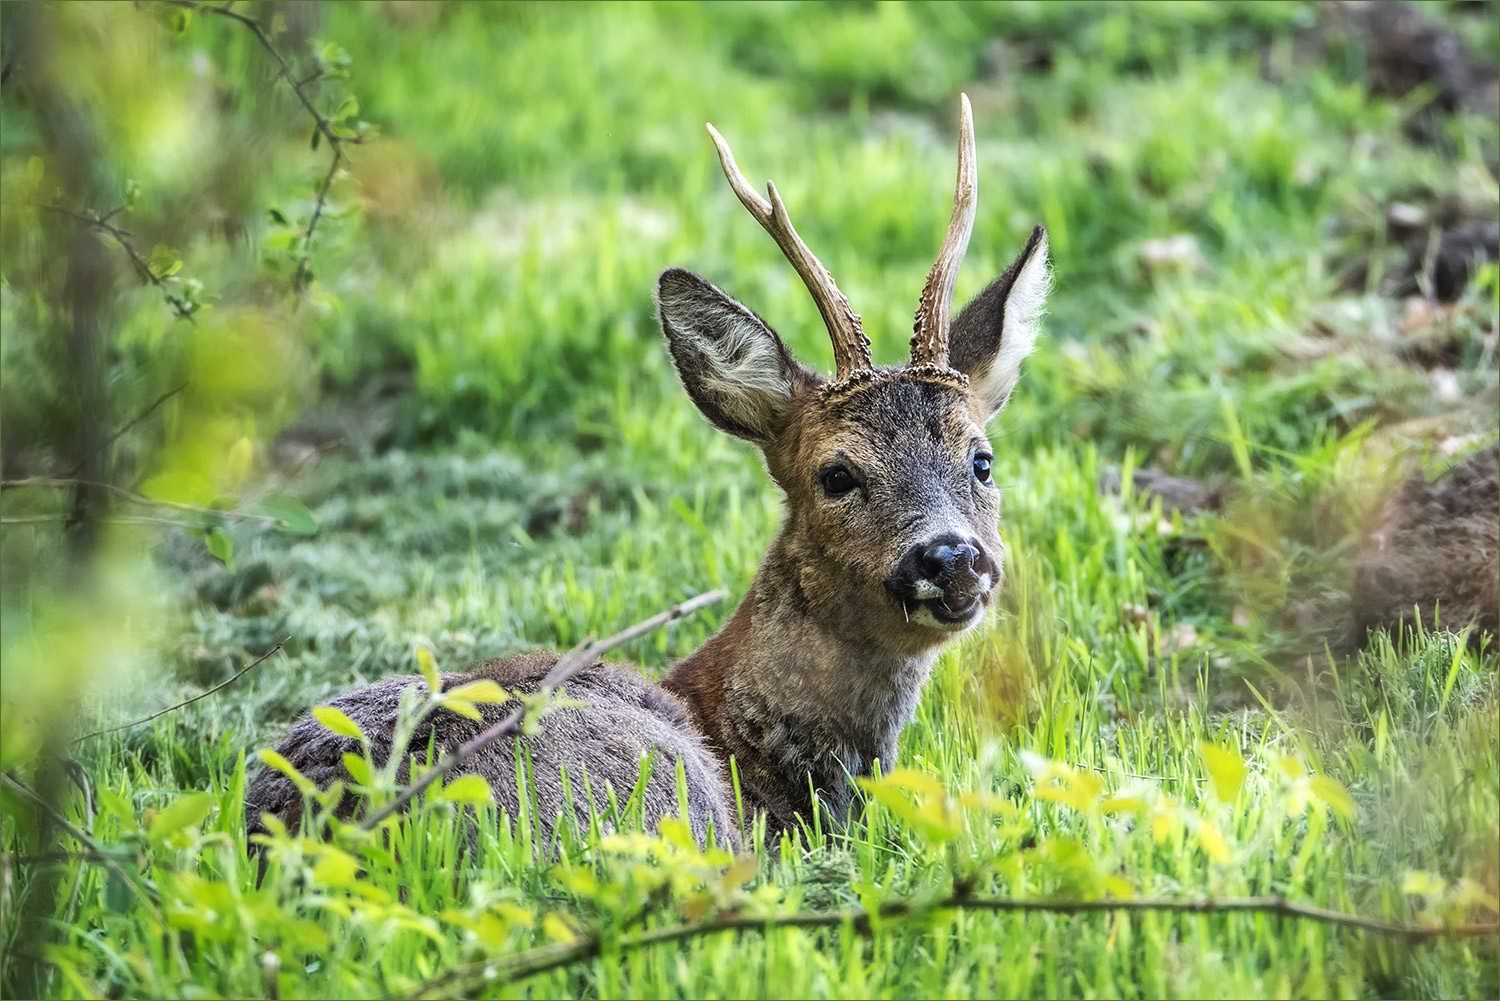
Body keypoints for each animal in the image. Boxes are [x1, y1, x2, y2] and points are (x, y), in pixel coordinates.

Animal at [246, 96, 1050, 852]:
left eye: (981, 458)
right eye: (837, 474)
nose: (951, 556)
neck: (742, 738)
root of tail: (333, 814)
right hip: (659, 786)